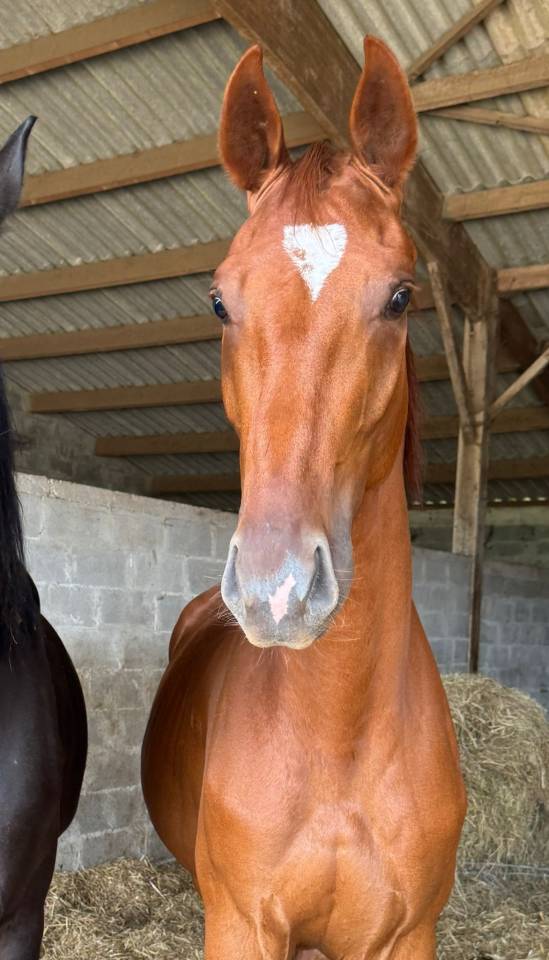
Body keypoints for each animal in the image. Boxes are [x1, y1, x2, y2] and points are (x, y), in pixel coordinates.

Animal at [142, 36, 466, 960]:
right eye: (220, 298)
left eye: (399, 295)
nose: (276, 591)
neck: (336, 742)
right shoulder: (240, 925)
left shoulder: (408, 936)